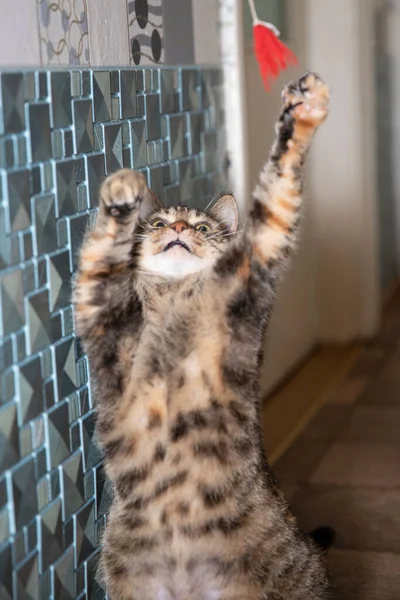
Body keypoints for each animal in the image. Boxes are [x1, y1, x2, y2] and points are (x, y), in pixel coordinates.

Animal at [72, 72, 332, 596]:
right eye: (156, 222)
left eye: (203, 227)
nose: (174, 226)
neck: (173, 295)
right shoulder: (99, 312)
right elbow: (98, 257)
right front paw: (119, 195)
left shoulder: (255, 263)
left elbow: (276, 195)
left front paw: (301, 117)